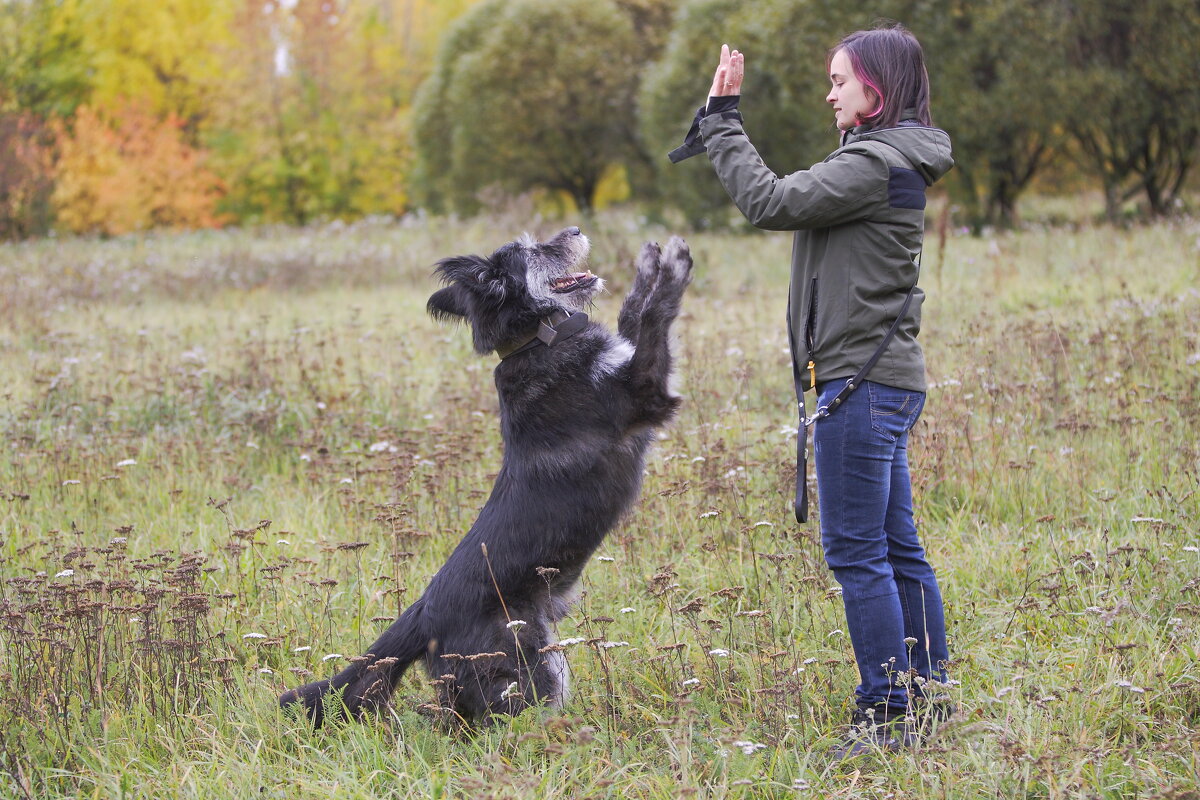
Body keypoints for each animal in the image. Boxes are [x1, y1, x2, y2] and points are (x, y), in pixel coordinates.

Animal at [280, 225, 696, 724]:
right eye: (534, 250)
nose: (575, 230)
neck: (537, 339)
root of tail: (423, 615)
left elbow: (634, 310)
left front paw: (648, 264)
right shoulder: (644, 394)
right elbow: (656, 316)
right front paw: (673, 267)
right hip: (533, 664)